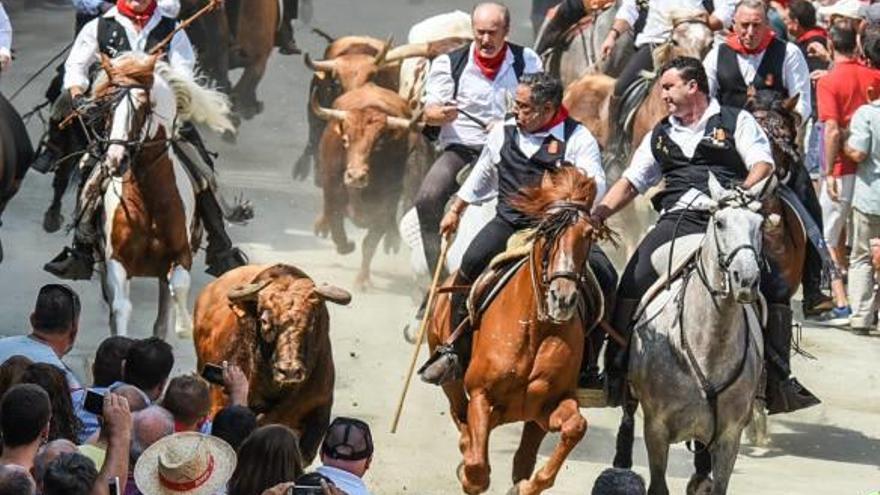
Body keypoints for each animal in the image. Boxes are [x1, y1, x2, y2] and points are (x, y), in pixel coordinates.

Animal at [312, 82, 422, 290]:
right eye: (345, 140)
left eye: (378, 144)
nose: (356, 176)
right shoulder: (333, 196)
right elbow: (338, 232)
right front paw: (347, 246)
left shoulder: (384, 208)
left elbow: (369, 244)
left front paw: (362, 280)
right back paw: (321, 225)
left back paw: (392, 238)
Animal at [426, 168, 604, 495]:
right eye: (546, 232)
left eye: (588, 234)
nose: (563, 298)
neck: (535, 329)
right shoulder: (481, 395)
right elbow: (477, 468)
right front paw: (469, 472)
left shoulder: (546, 407)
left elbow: (575, 427)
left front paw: (527, 486)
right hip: (452, 382)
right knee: (461, 415)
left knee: (523, 455)